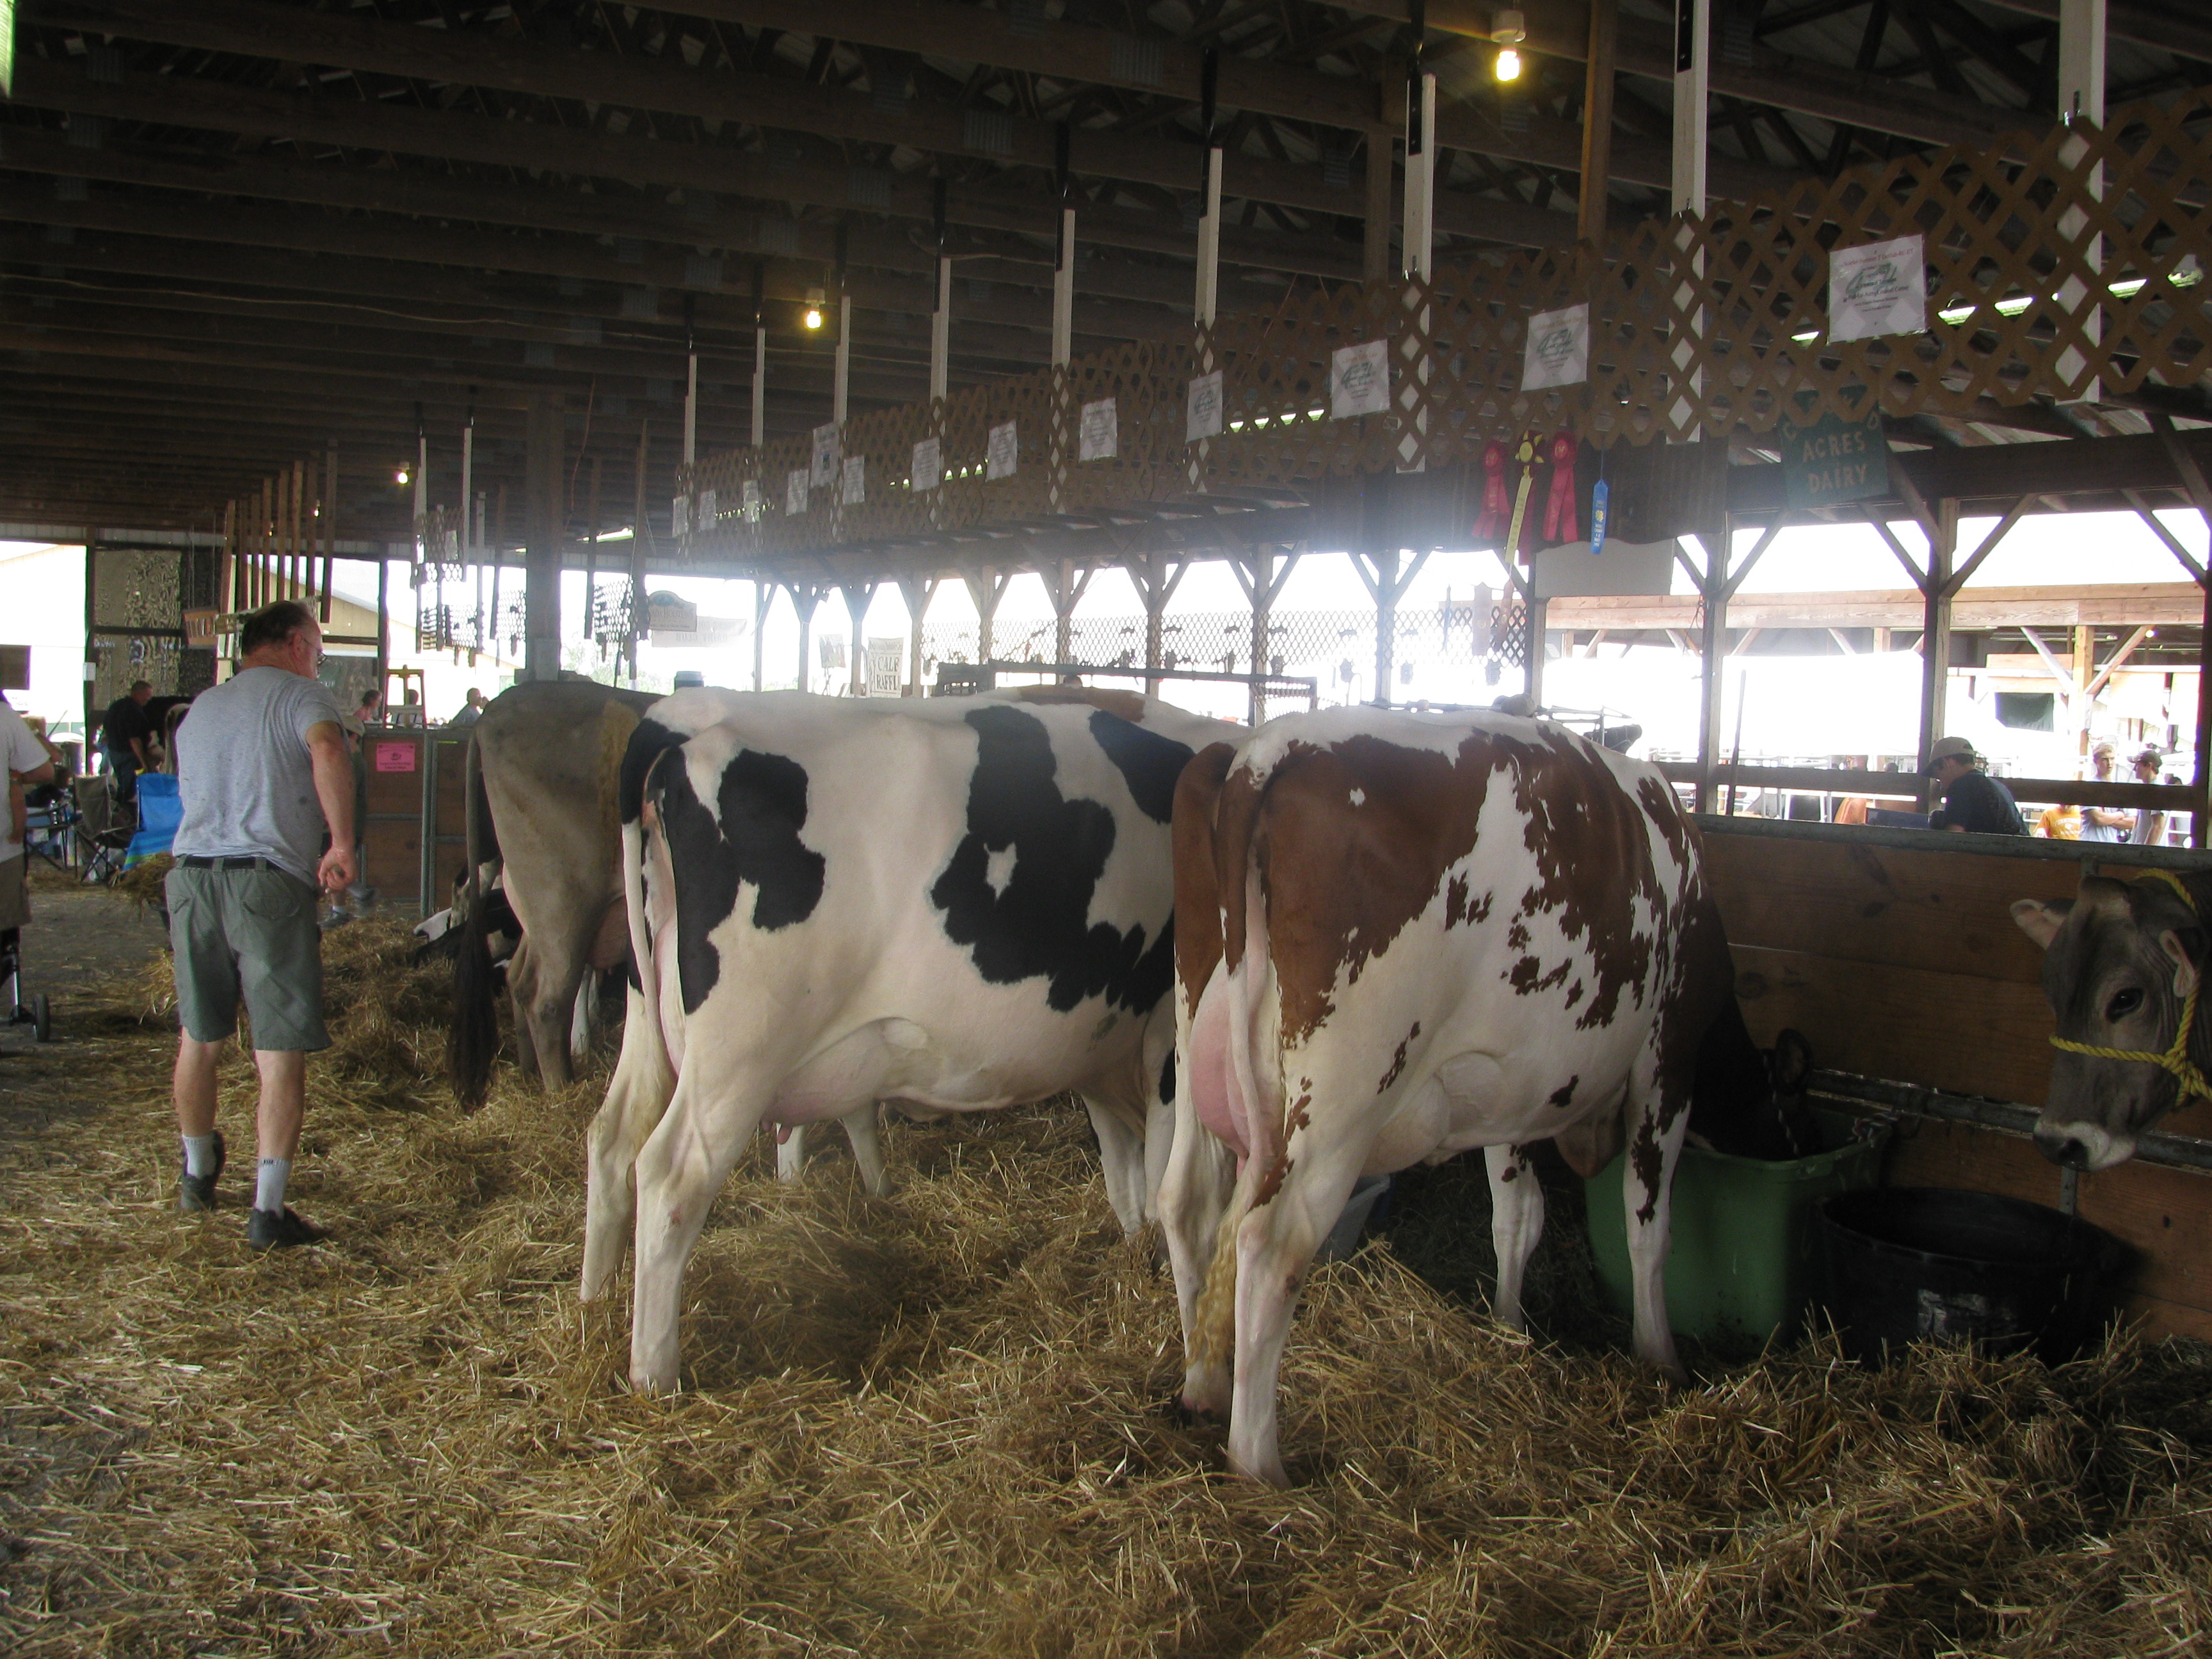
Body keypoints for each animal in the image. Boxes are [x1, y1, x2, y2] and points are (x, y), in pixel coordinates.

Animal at [449, 679, 661, 1106]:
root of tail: (490, 714)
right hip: (562, 901)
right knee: (545, 999)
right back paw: (560, 1090)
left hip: (534, 908)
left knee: (518, 978)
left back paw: (530, 1072)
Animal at [583, 685, 1238, 1394]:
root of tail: (688, 714)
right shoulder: (1165, 1035)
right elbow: (1164, 1180)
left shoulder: (1103, 1046)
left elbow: (1125, 1181)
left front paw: (1135, 1250)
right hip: (740, 1050)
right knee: (670, 1177)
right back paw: (654, 1374)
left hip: (651, 1016)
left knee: (612, 1138)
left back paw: (595, 1303)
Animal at [1161, 707, 1807, 1485]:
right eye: (1786, 1109)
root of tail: (1264, 749)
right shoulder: (1667, 1061)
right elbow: (1648, 1227)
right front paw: (1661, 1357)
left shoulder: (1516, 1090)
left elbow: (1517, 1215)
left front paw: (1509, 1323)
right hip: (1343, 1096)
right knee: (1267, 1244)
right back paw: (1259, 1461)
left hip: (1197, 1032)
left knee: (1188, 1204)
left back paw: (1202, 1386)